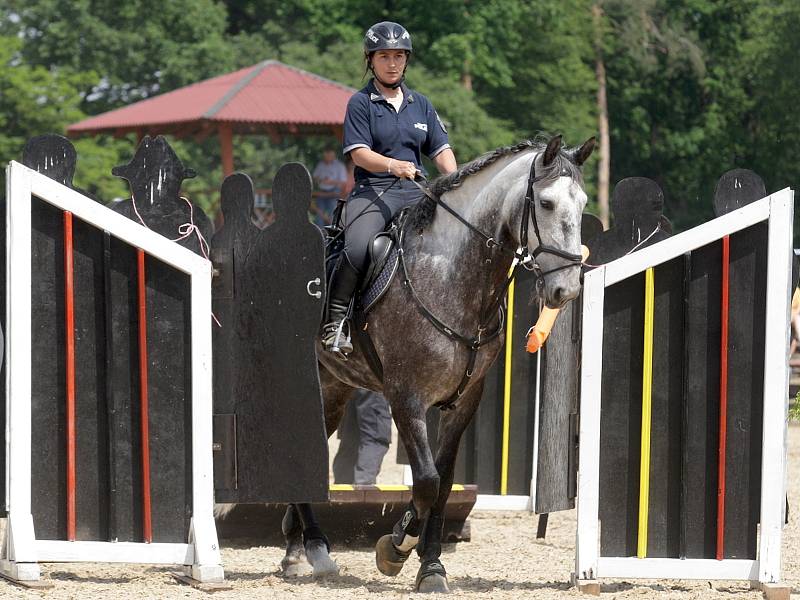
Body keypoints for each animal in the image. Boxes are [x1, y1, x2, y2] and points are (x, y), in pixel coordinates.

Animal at [282, 135, 592, 592]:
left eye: (583, 203)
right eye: (547, 203)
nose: (565, 289)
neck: (452, 277)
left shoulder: (463, 401)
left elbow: (443, 484)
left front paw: (430, 566)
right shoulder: (406, 398)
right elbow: (426, 482)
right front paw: (396, 547)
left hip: (335, 388)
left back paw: (297, 548)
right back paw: (313, 550)